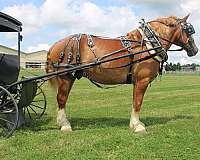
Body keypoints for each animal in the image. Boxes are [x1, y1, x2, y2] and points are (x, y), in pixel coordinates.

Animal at [45, 14, 198, 132]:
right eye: (189, 30)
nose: (195, 50)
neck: (148, 44)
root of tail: (56, 45)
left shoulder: (137, 82)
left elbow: (134, 101)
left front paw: (135, 123)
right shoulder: (142, 80)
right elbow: (138, 102)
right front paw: (137, 126)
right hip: (66, 77)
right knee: (61, 99)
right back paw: (65, 125)